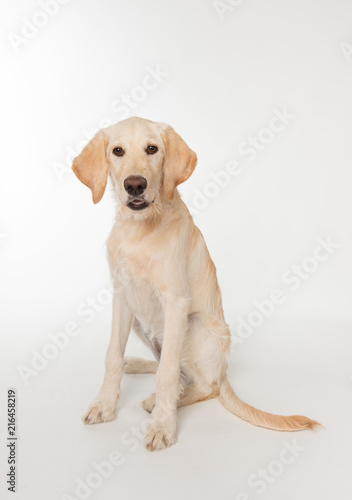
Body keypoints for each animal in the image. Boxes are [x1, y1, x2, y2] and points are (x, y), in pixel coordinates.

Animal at [72, 118, 320, 454]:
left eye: (152, 149)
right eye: (117, 151)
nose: (135, 185)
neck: (141, 229)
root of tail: (225, 373)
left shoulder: (176, 302)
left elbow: (166, 375)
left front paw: (163, 426)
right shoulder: (122, 297)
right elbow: (112, 356)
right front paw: (104, 406)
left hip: (195, 324)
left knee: (200, 384)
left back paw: (160, 401)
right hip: (141, 322)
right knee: (174, 372)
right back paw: (133, 363)